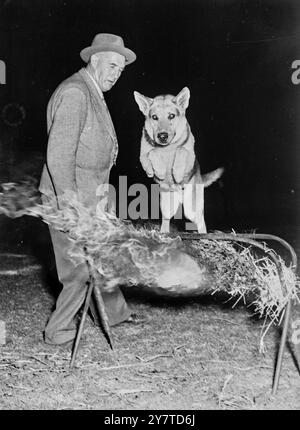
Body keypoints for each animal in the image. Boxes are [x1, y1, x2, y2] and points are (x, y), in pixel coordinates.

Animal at [134, 87, 223, 233]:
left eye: (171, 116)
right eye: (154, 117)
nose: (162, 136)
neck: (168, 148)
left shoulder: (190, 157)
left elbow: (182, 150)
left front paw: (177, 173)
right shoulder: (143, 155)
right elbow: (152, 152)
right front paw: (158, 171)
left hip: (192, 210)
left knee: (201, 222)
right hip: (166, 205)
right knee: (166, 220)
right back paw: (164, 232)